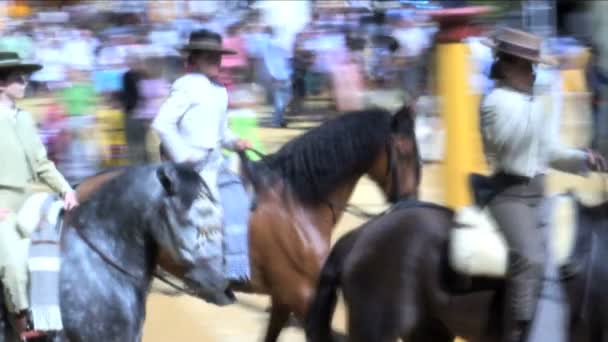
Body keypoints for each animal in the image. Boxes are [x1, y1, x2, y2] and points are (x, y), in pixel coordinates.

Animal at [75, 107, 422, 342]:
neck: (297, 202)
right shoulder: (303, 297)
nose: (410, 204)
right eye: (405, 151)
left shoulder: (284, 298)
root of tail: (79, 191)